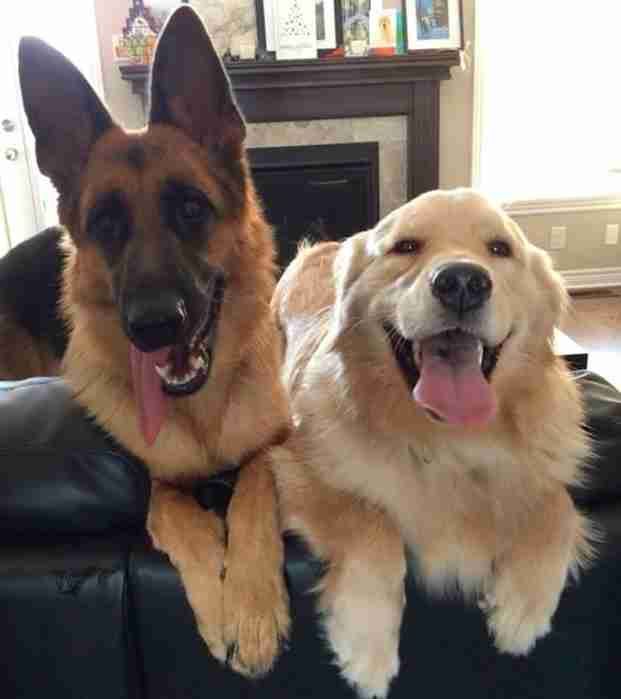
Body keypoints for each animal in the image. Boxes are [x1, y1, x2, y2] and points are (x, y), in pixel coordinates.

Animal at [18, 6, 290, 680]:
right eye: (106, 225)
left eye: (190, 208)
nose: (154, 325)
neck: (202, 417)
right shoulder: (158, 481)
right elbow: (169, 512)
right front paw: (220, 603)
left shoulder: (276, 445)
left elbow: (253, 487)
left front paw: (251, 607)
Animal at [272, 189, 592, 696]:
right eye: (406, 246)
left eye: (500, 249)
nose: (462, 282)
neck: (451, 442)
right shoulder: (287, 464)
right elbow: (370, 521)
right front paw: (367, 645)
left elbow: (557, 504)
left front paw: (522, 611)